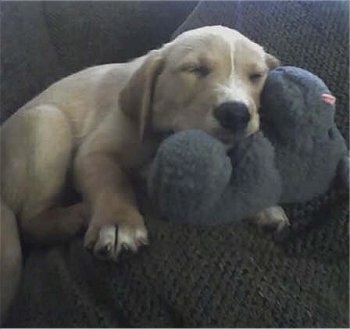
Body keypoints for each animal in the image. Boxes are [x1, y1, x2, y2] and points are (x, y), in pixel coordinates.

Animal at [1, 26, 284, 262]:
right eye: (195, 69)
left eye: (256, 76)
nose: (236, 114)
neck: (162, 134)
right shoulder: (94, 153)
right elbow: (112, 182)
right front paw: (118, 223)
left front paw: (262, 206)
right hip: (48, 120)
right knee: (31, 222)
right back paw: (80, 214)